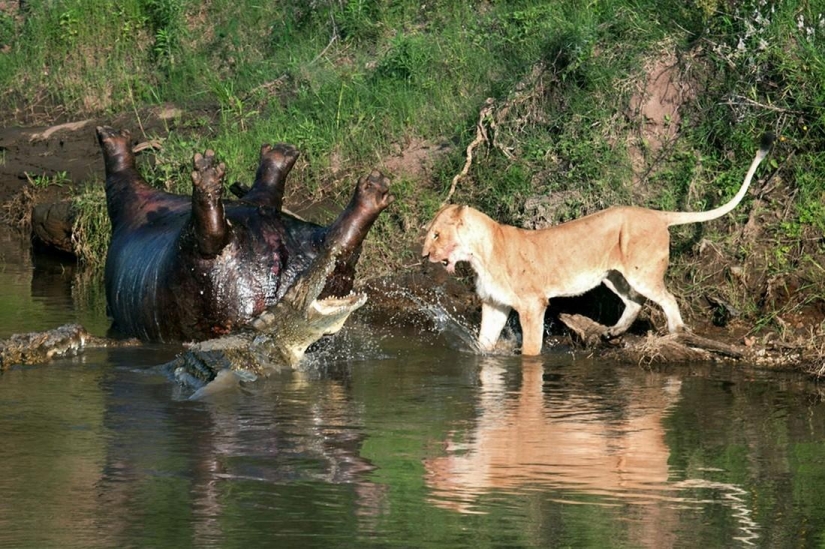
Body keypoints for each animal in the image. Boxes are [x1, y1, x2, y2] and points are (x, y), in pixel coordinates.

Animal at [422, 134, 774, 355]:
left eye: (436, 234)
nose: (424, 254)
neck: (478, 255)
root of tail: (657, 214)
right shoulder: (495, 303)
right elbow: (486, 341)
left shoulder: (533, 304)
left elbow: (532, 349)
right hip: (612, 275)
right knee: (635, 302)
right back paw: (613, 333)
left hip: (640, 272)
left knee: (667, 299)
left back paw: (675, 332)